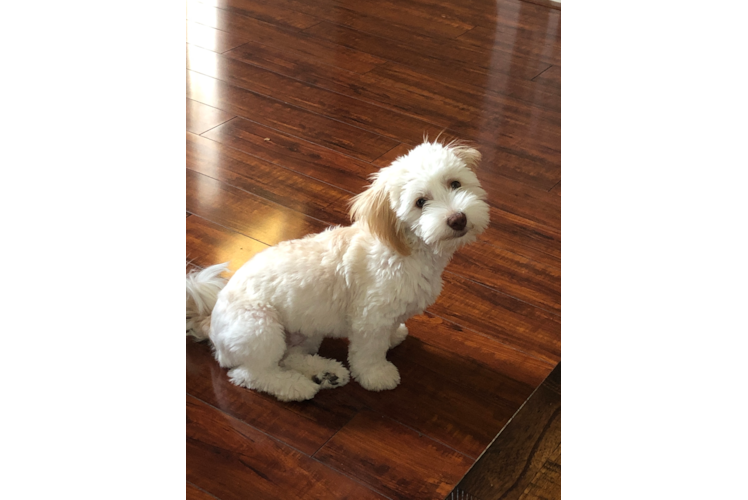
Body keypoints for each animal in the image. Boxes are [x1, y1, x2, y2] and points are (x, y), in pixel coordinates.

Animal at [187, 138, 490, 402]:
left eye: (454, 183)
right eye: (421, 202)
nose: (457, 219)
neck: (405, 249)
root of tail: (209, 321)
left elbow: (389, 330)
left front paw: (394, 337)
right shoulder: (371, 317)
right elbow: (369, 352)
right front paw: (377, 375)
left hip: (305, 331)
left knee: (291, 355)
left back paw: (325, 373)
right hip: (260, 328)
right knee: (251, 373)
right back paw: (295, 387)